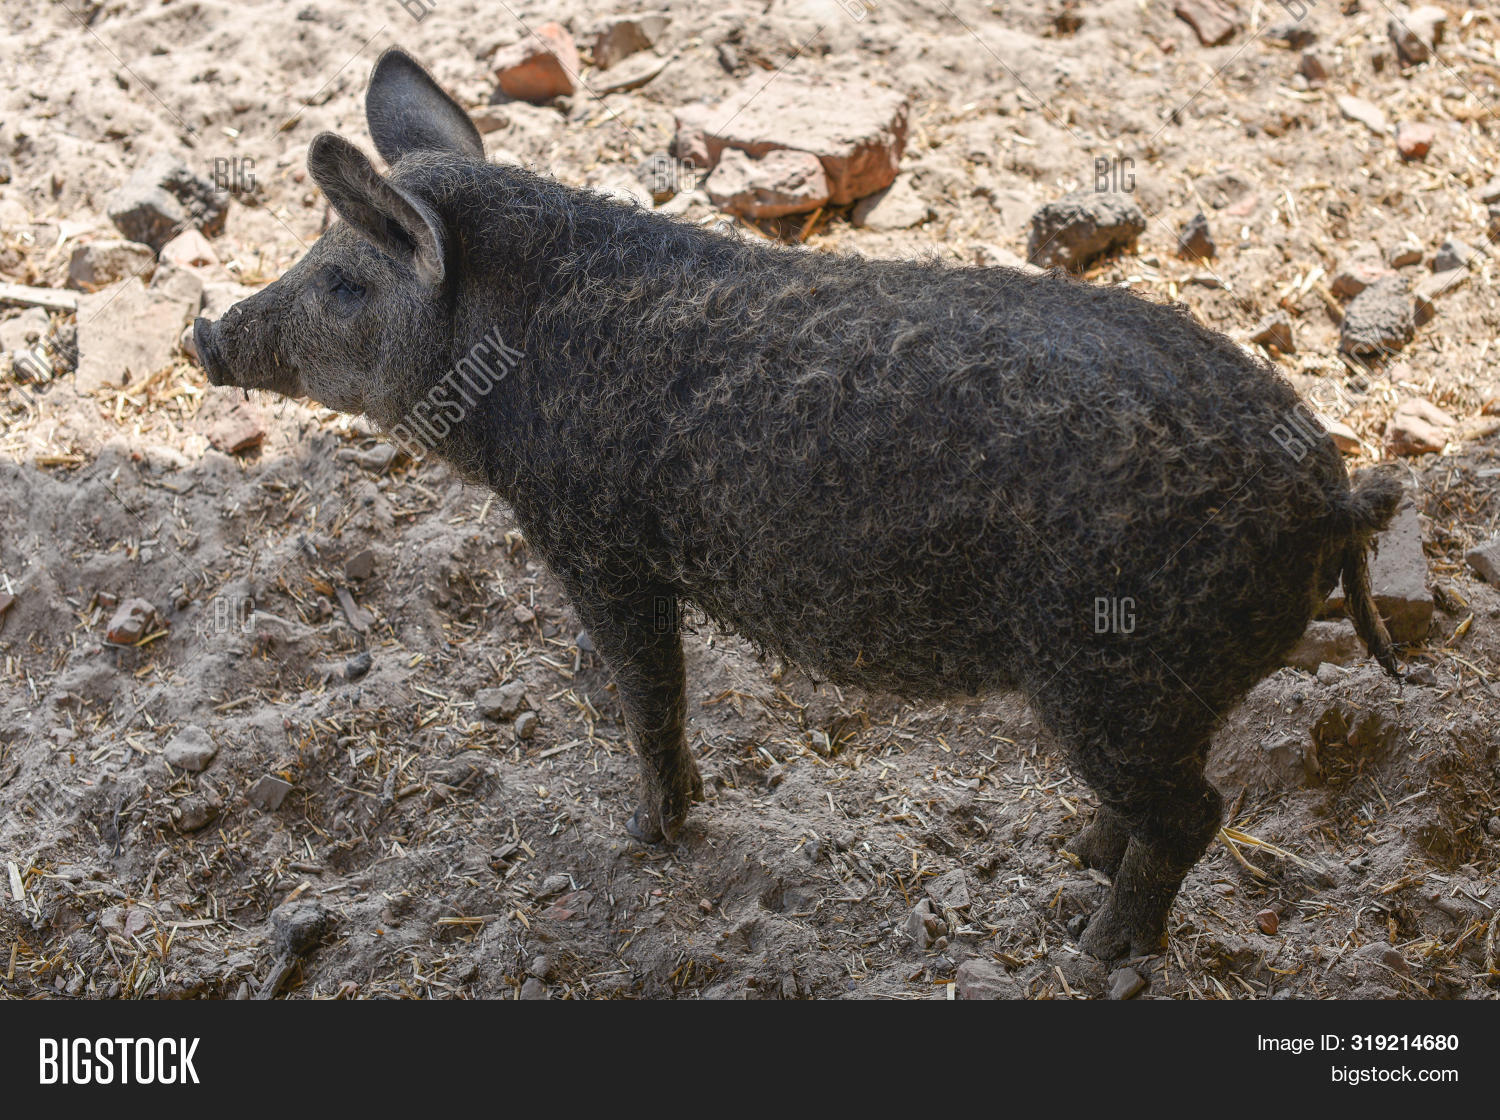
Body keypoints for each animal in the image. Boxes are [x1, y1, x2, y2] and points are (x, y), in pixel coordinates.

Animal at [193, 49, 1402, 958]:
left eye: (345, 282)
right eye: (316, 255)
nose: (205, 333)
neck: (517, 360)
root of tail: (1333, 498)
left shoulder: (599, 543)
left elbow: (649, 695)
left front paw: (645, 835)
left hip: (1119, 672)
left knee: (1196, 813)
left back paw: (1099, 953)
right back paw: (1078, 862)